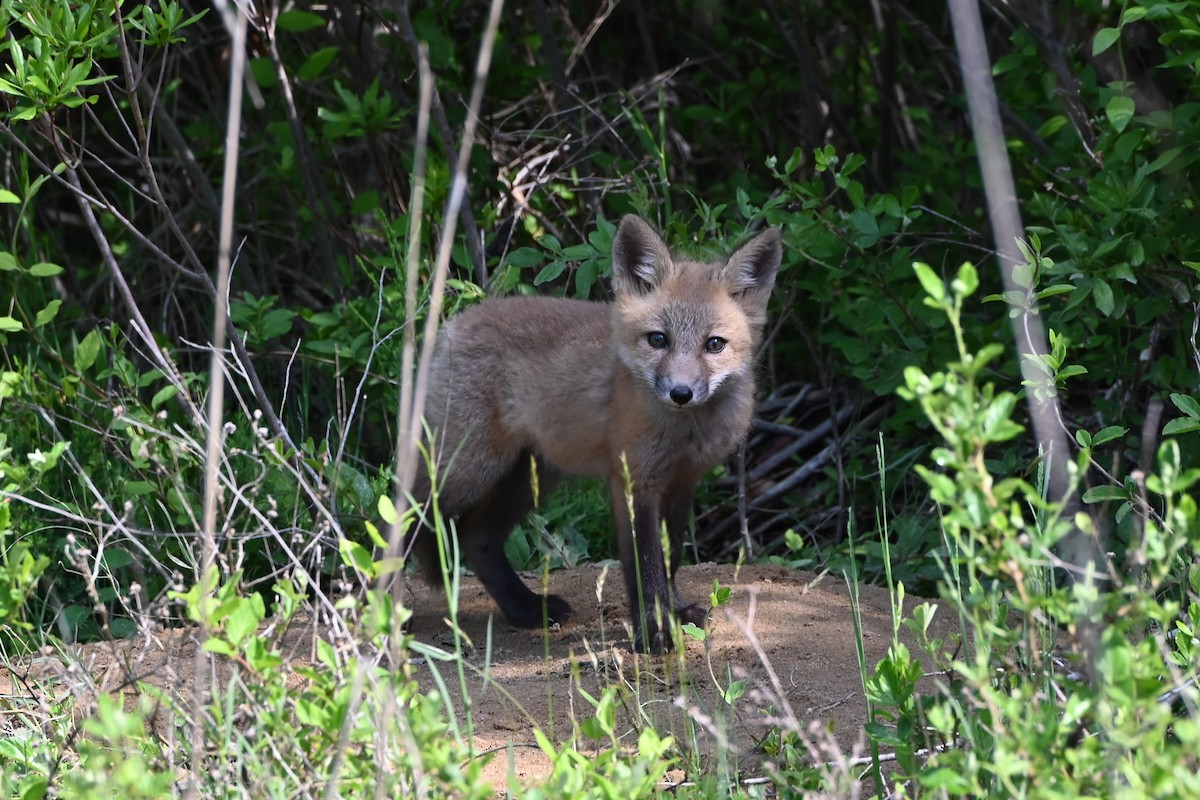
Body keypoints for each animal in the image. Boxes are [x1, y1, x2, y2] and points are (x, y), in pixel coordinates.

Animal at [409, 215, 781, 653]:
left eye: (714, 345)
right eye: (658, 339)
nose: (681, 393)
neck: (683, 433)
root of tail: (453, 324)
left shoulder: (682, 482)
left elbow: (669, 559)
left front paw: (676, 614)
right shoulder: (633, 481)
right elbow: (644, 564)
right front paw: (654, 631)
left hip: (530, 478)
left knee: (475, 538)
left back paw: (526, 610)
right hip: (467, 470)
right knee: (396, 517)